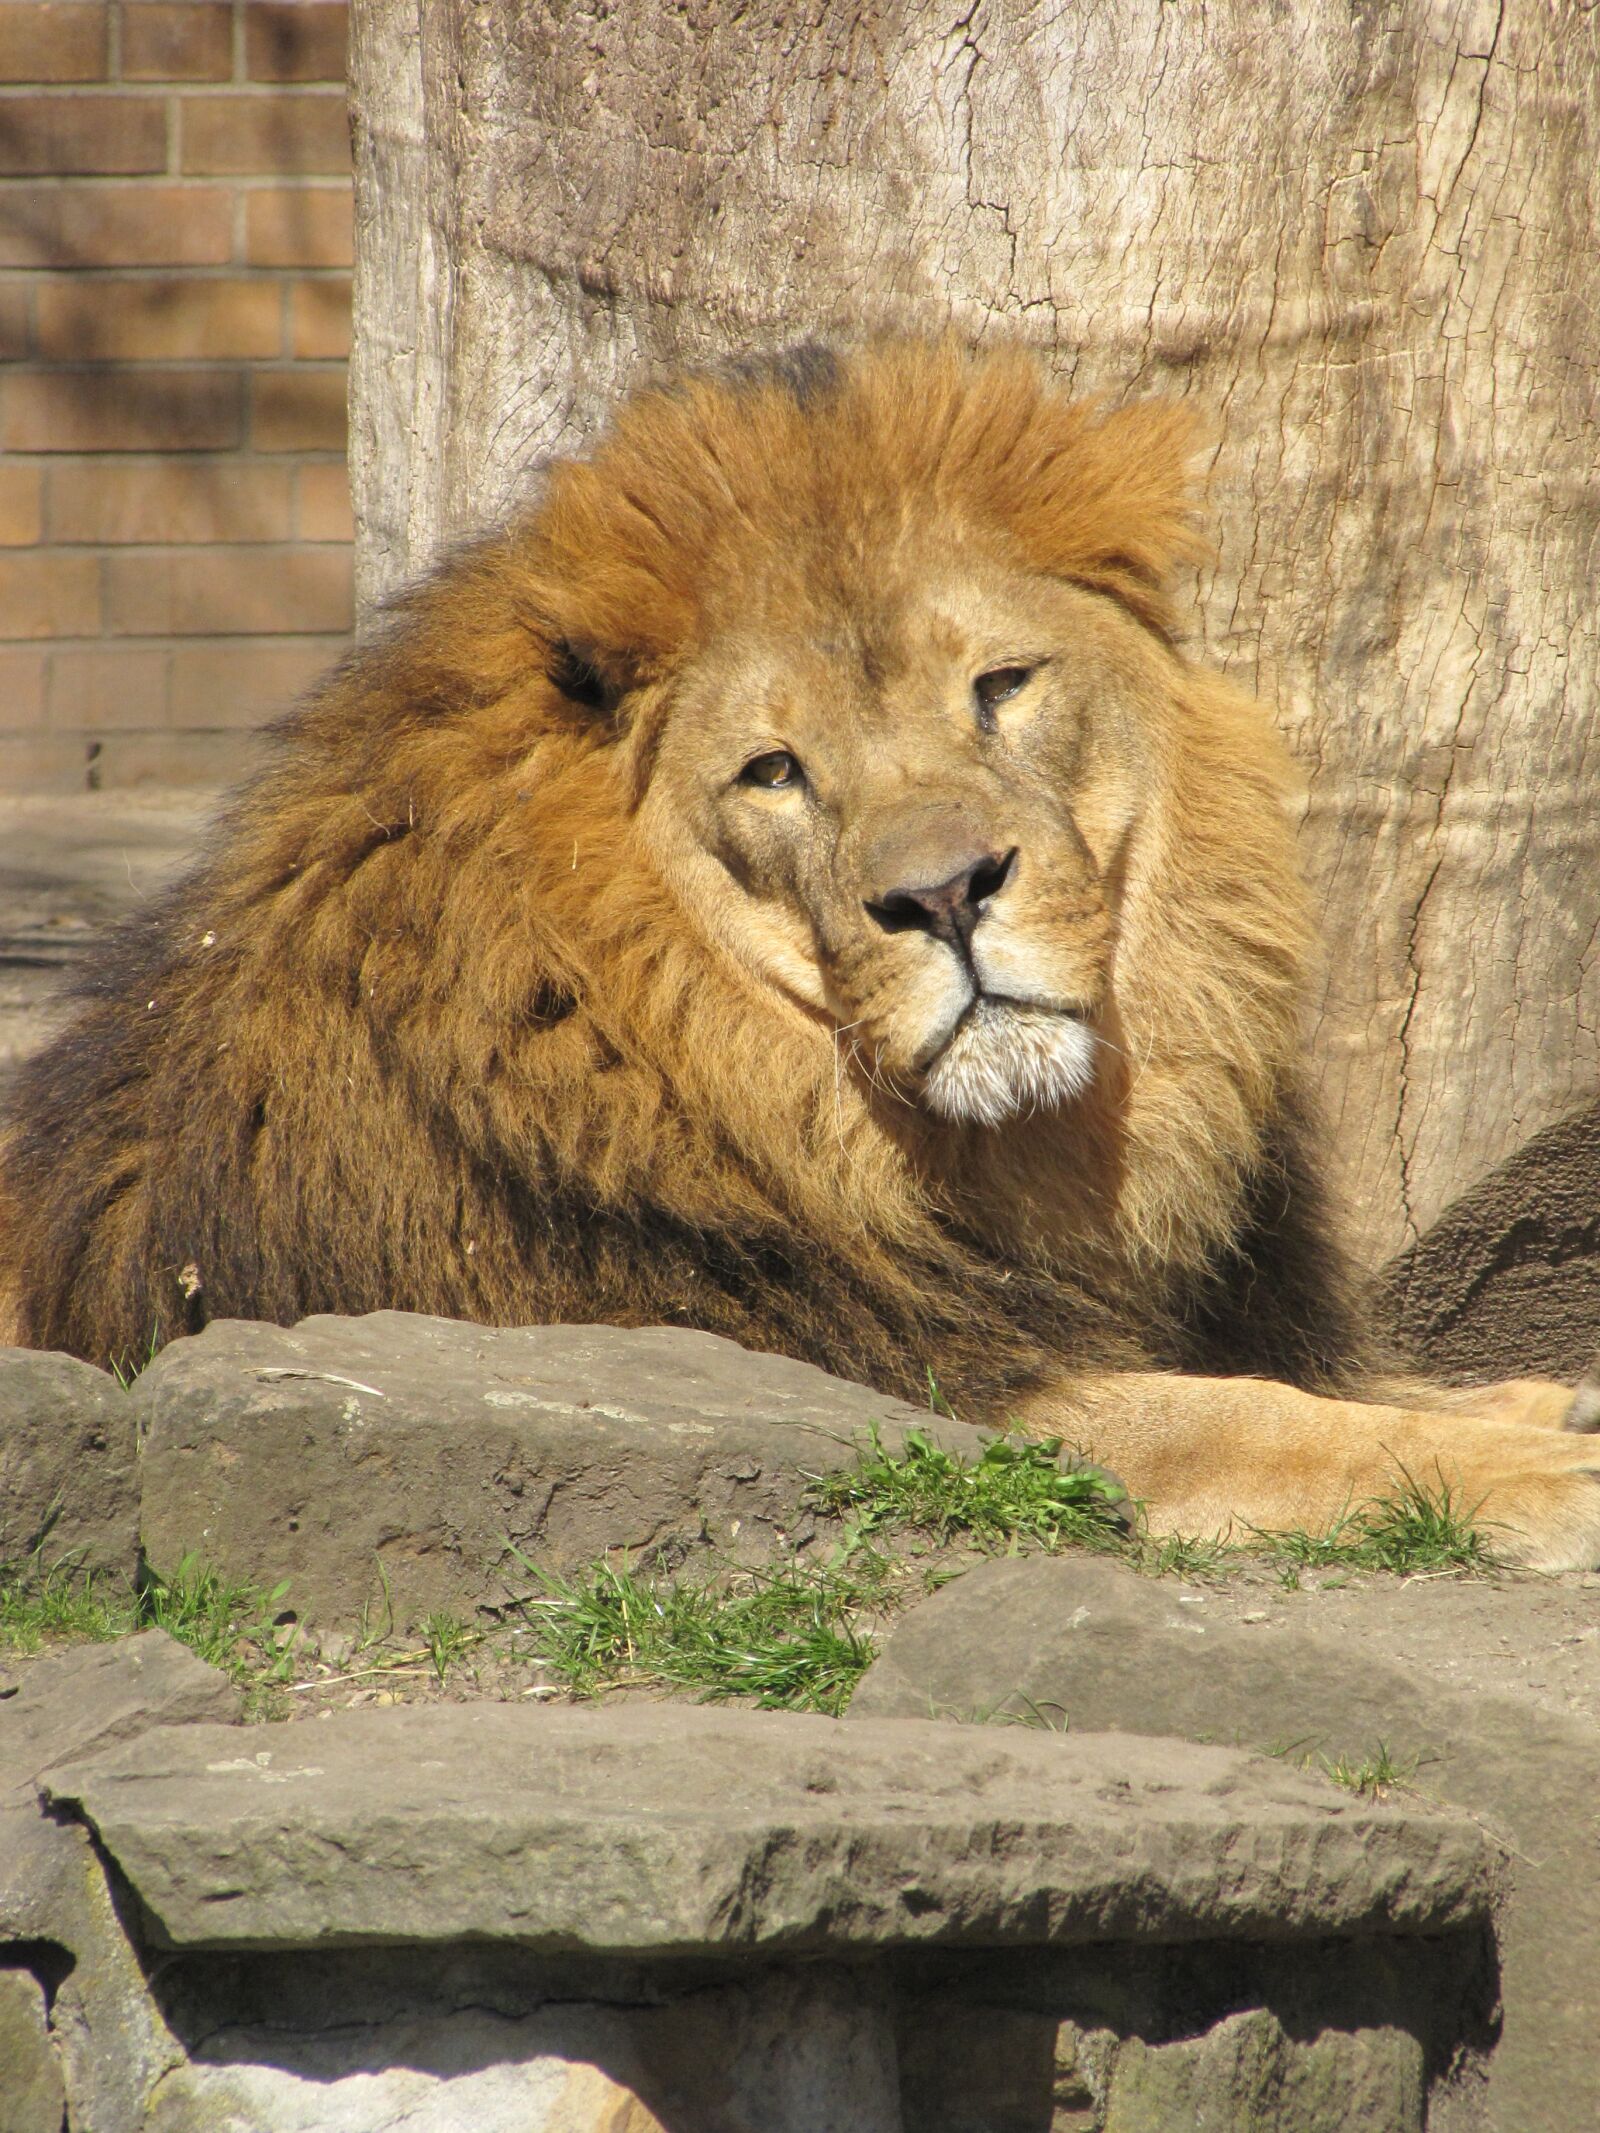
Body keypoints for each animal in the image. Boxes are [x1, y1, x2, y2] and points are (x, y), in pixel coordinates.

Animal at [3, 337, 1600, 1569]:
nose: (947, 894)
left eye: (1001, 686)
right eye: (773, 772)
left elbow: (1326, 1377)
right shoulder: (861, 1389)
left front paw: (1535, 1405)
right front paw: (1546, 1476)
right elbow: (1238, 1418)